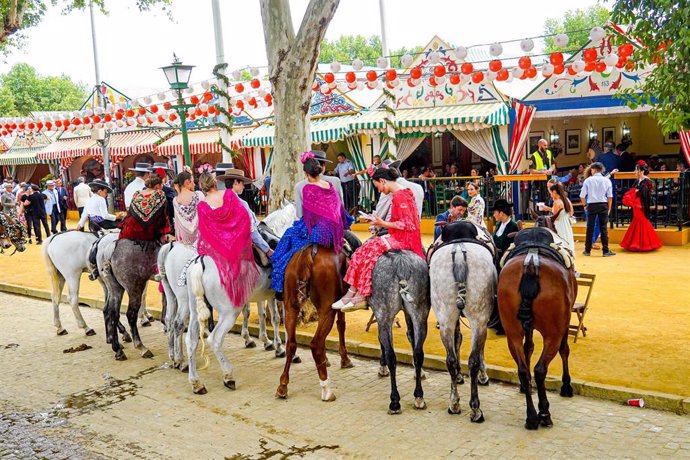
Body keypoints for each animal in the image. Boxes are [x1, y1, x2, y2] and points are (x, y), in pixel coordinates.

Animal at [272, 246, 350, 400]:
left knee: (291, 344)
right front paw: (344, 359)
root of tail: (309, 253)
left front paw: (327, 360)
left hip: (291, 307)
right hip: (327, 309)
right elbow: (341, 325)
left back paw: (283, 386)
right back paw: (326, 389)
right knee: (315, 344)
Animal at [368, 250, 428, 416]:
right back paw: (419, 397)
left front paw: (382, 368)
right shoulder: (408, 314)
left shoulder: (381, 316)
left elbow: (382, 342)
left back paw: (394, 402)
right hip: (420, 312)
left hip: (384, 312)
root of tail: (401, 264)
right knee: (418, 353)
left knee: (392, 356)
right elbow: (411, 338)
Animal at [494, 227, 576, 432]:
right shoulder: (565, 320)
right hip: (553, 333)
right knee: (541, 369)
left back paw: (531, 415)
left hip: (512, 332)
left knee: (523, 368)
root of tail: (531, 264)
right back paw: (544, 413)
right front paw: (566, 385)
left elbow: (528, 348)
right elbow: (565, 350)